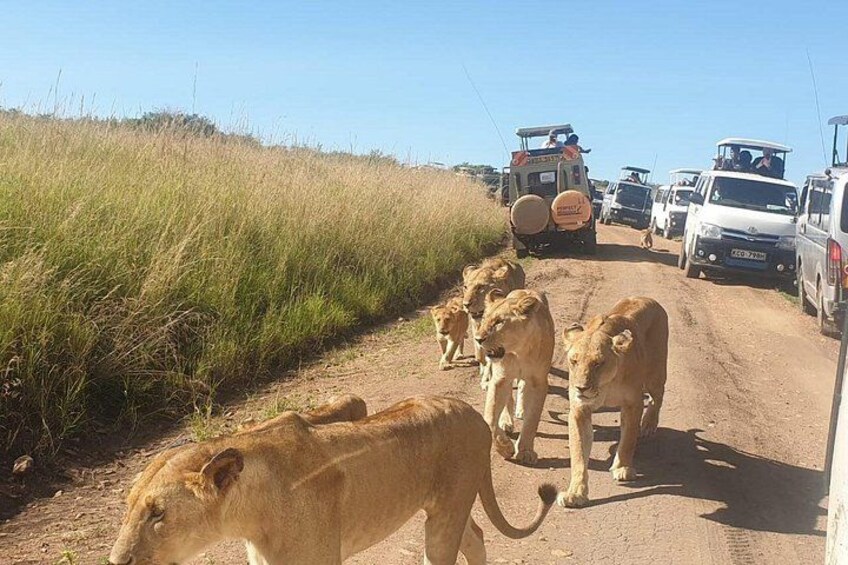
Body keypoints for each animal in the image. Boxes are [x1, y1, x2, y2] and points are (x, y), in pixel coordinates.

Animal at [108, 396, 557, 565]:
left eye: (157, 513)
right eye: (126, 508)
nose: (116, 562)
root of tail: (472, 410)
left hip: (445, 517)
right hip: (449, 506)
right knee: (475, 537)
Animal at [462, 258, 526, 391]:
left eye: (480, 287)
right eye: (465, 287)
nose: (465, 304)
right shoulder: (476, 326)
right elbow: (480, 355)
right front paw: (484, 376)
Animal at [473, 288, 554, 466]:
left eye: (499, 322)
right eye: (484, 319)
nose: (478, 339)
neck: (519, 352)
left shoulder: (539, 382)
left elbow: (532, 420)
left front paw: (525, 451)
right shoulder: (500, 379)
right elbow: (490, 418)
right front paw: (505, 447)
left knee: (523, 387)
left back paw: (521, 410)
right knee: (509, 397)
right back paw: (506, 421)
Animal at [557, 297, 668, 508]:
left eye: (598, 363)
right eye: (574, 361)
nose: (581, 388)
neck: (605, 384)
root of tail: (648, 299)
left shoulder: (633, 403)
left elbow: (628, 440)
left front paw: (623, 468)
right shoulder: (579, 410)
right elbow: (578, 454)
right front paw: (575, 493)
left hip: (655, 374)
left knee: (657, 397)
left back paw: (648, 424)